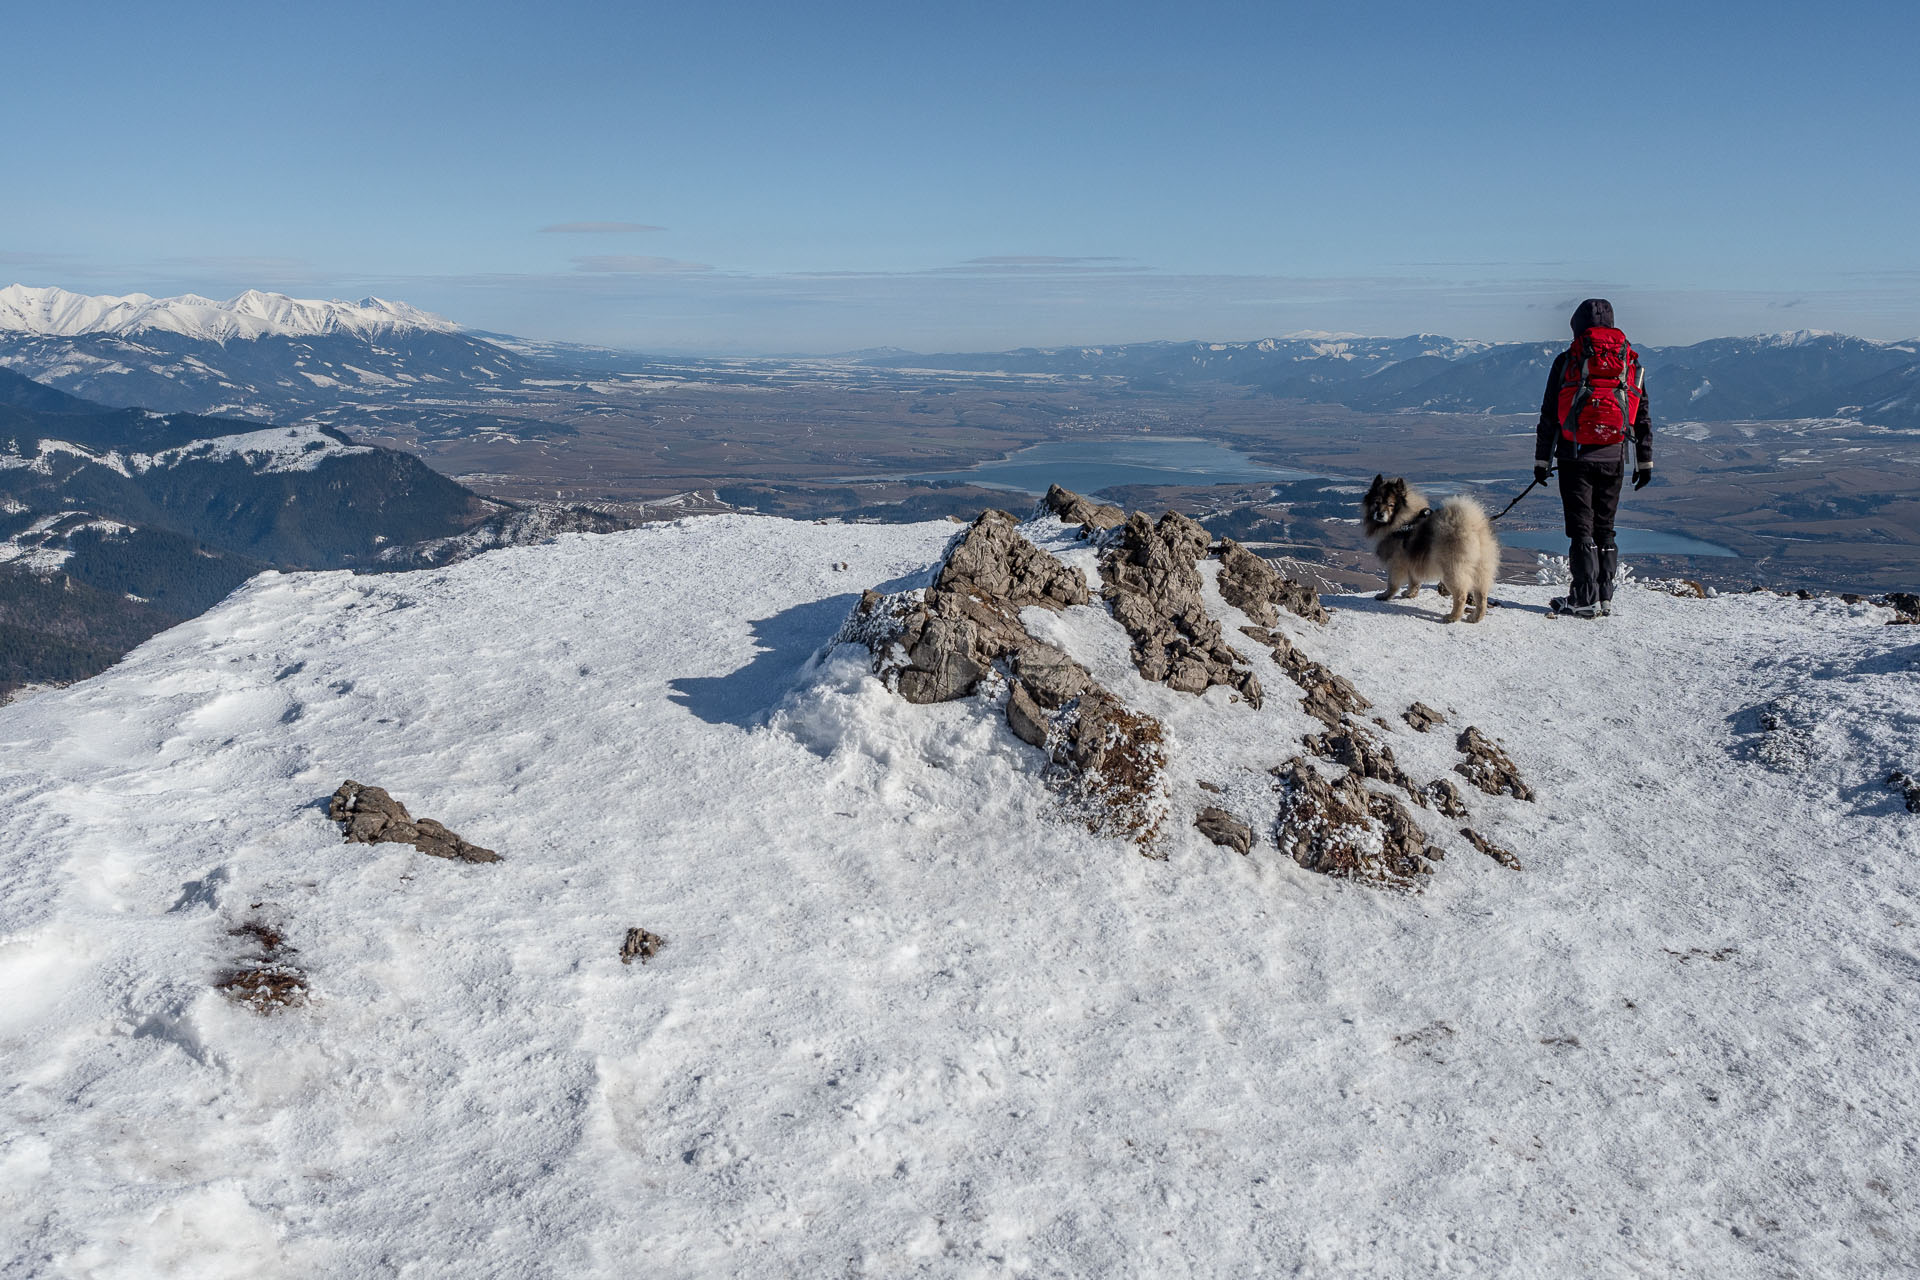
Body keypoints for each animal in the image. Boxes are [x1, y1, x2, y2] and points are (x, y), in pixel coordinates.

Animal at [1367, 475, 1497, 625]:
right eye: (1377, 502)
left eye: (1391, 505)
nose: (1379, 514)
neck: (1403, 522)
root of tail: (1472, 526)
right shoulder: (1412, 562)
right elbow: (1414, 581)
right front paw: (1409, 594)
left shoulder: (1396, 563)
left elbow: (1392, 583)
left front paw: (1385, 596)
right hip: (1481, 569)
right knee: (1481, 595)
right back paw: (1475, 618)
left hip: (1452, 570)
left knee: (1461, 595)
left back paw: (1452, 617)